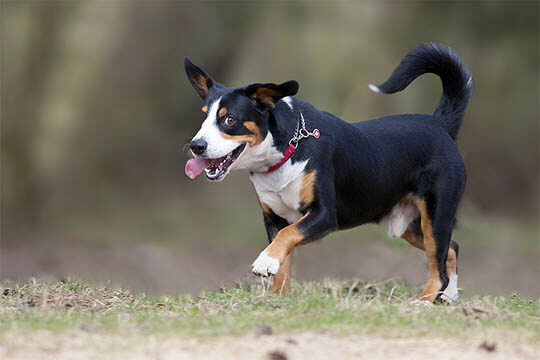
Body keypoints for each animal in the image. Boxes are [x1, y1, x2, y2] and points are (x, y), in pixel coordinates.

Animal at [185, 42, 472, 302]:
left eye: (229, 119)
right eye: (204, 117)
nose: (196, 146)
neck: (286, 151)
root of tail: (439, 124)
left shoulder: (323, 215)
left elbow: (286, 237)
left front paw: (265, 262)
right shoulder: (274, 218)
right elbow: (283, 264)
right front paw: (279, 298)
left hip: (435, 215)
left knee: (439, 266)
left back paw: (424, 301)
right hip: (410, 225)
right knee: (452, 249)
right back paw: (450, 296)